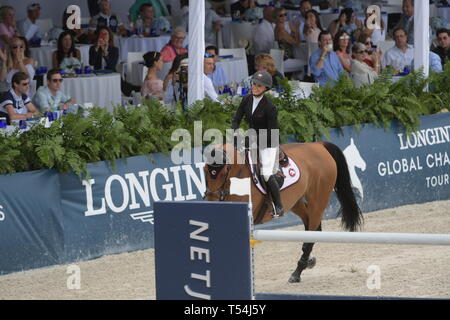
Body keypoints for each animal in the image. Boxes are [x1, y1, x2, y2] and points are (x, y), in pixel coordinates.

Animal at [206, 142, 364, 282]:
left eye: (224, 172)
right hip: (296, 202)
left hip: (318, 201)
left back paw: (297, 273)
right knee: (312, 228)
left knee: (311, 236)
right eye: (205, 171)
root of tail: (318, 145)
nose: (211, 201)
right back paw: (309, 261)